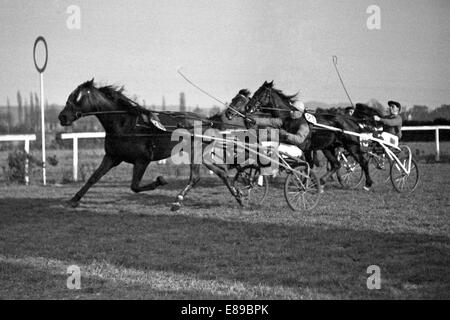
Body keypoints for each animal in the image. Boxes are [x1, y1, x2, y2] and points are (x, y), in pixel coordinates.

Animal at [229, 81, 372, 190]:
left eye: (261, 93)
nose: (248, 107)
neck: (290, 117)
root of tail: (352, 121)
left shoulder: (304, 146)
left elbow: (307, 164)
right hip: (328, 147)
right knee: (336, 164)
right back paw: (322, 181)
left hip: (351, 146)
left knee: (363, 161)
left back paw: (368, 184)